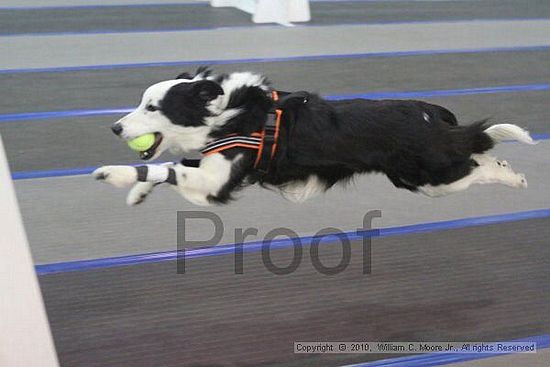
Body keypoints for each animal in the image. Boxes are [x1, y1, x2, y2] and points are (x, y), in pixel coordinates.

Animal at [92, 68, 536, 207]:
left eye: (153, 107)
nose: (115, 128)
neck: (227, 113)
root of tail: (432, 113)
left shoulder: (217, 182)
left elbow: (166, 168)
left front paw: (114, 175)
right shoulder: (208, 163)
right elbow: (169, 165)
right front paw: (137, 191)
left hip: (430, 175)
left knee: (483, 160)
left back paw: (514, 177)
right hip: (419, 178)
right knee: (479, 154)